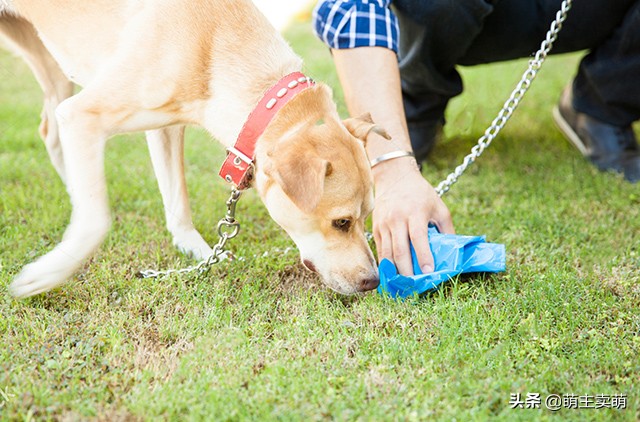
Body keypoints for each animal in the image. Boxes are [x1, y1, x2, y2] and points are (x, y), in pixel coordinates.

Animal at [0, 0, 384, 298]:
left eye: (368, 214)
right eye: (341, 222)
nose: (373, 281)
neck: (213, 40)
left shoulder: (165, 126)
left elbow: (177, 198)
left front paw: (196, 250)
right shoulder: (83, 115)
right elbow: (96, 221)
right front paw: (50, 272)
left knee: (50, 130)